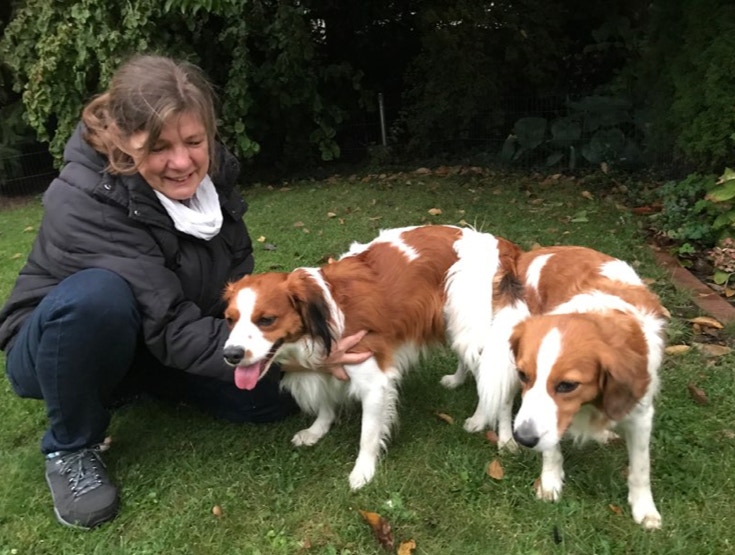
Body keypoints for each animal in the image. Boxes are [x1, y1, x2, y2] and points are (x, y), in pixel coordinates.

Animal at [222, 225, 521, 489]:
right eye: (229, 320)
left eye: (266, 320)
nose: (230, 355)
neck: (324, 319)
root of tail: (497, 242)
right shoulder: (326, 366)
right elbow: (325, 404)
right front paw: (317, 430)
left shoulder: (374, 383)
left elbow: (368, 435)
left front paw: (363, 471)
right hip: (456, 326)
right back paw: (460, 385)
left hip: (473, 330)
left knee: (501, 386)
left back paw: (498, 432)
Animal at [506, 246, 668, 529]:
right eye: (524, 375)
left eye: (567, 385)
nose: (523, 439)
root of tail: (535, 251)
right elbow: (551, 448)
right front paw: (550, 480)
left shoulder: (640, 413)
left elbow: (640, 468)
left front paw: (644, 507)